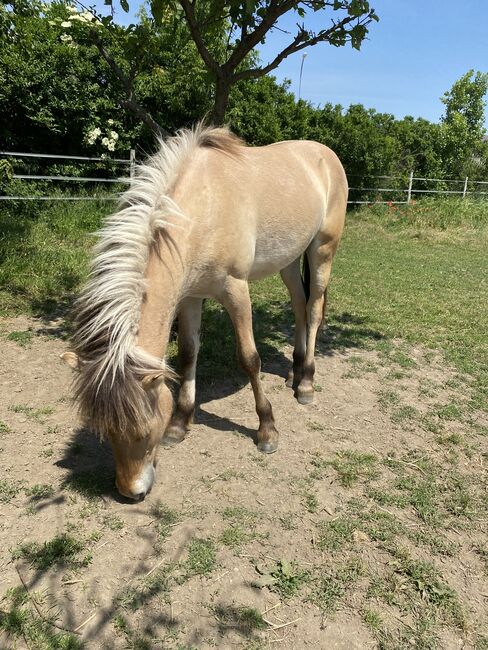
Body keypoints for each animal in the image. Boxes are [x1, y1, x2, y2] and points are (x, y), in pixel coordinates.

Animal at [63, 124, 348, 498]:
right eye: (107, 432)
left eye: (144, 431)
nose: (131, 493)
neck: (202, 210)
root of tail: (325, 154)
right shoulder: (191, 297)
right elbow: (187, 353)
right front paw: (180, 423)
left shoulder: (235, 291)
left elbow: (249, 359)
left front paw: (267, 430)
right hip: (288, 259)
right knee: (299, 306)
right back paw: (294, 372)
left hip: (323, 250)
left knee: (313, 309)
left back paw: (307, 384)